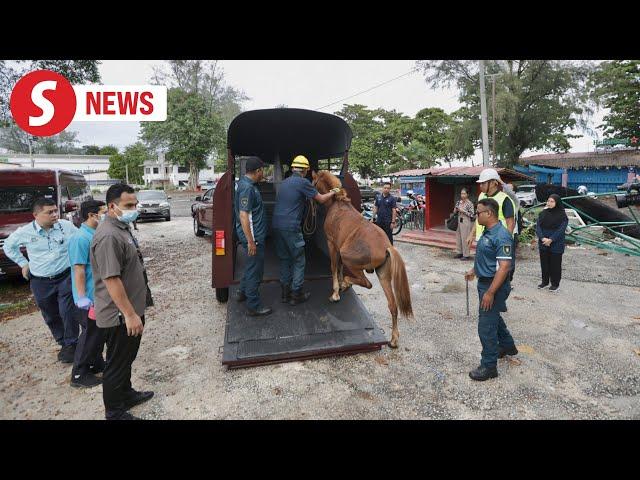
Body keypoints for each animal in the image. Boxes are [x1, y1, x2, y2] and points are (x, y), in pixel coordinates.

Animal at [312, 171, 416, 346]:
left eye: (312, 181)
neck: (337, 204)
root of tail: (386, 247)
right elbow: (339, 268)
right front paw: (340, 286)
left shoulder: (332, 245)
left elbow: (334, 267)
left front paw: (336, 292)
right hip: (383, 276)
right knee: (393, 305)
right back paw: (394, 339)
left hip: (352, 261)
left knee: (366, 283)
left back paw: (346, 283)